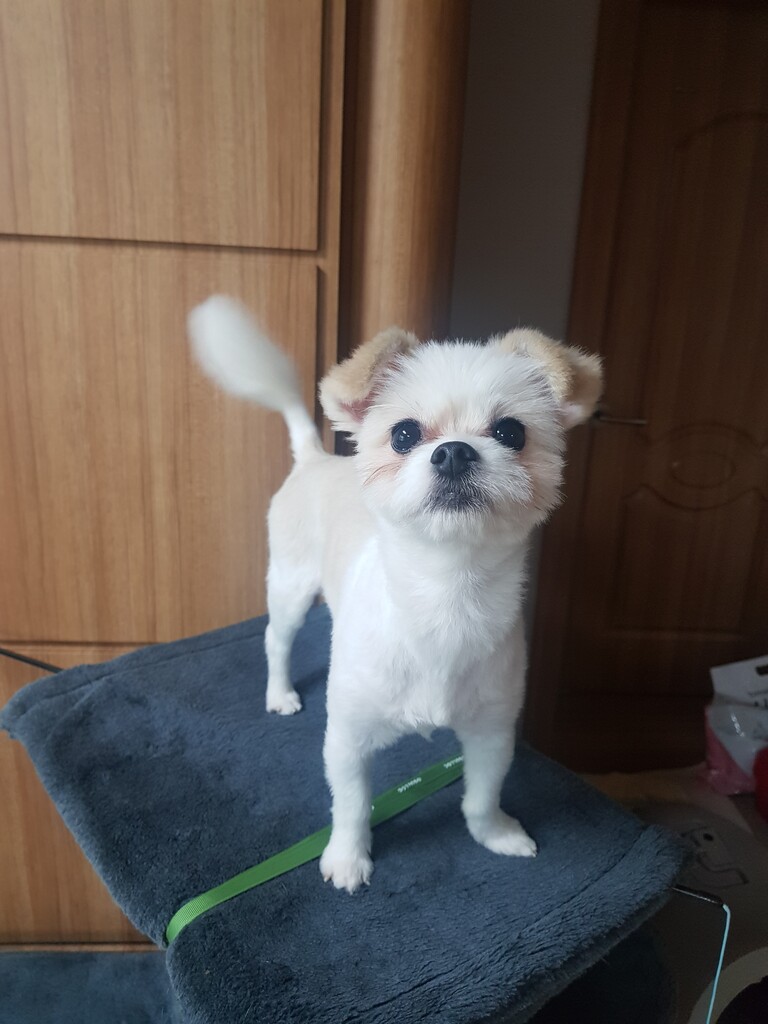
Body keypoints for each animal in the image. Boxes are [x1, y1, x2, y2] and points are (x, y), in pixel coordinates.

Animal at [189, 297, 602, 893]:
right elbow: (351, 805)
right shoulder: (347, 737)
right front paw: (347, 857)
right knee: (276, 641)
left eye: (511, 432)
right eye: (405, 435)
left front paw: (494, 834)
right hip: (290, 586)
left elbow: (481, 796)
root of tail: (315, 457)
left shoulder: (492, 732)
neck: (446, 592)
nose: (453, 452)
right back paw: (280, 691)